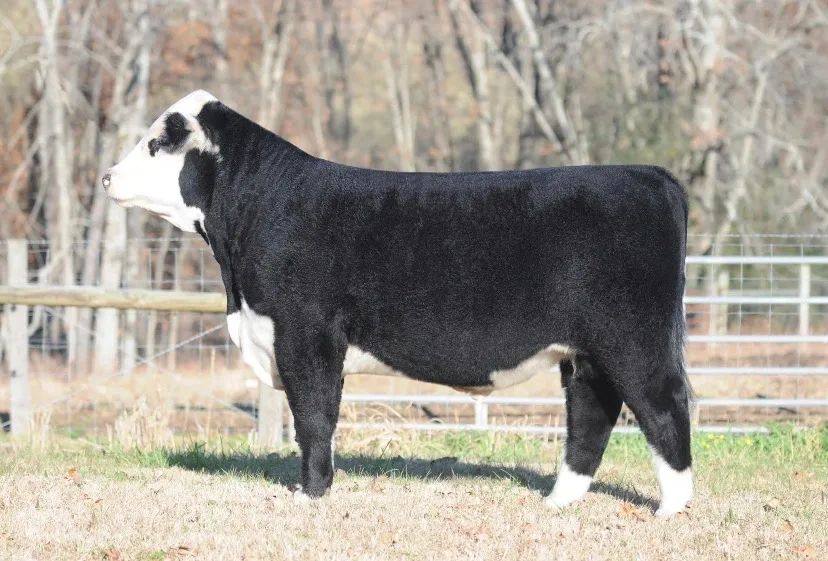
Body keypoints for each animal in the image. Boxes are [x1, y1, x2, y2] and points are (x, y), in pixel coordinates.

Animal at [103, 90, 693, 516]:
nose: (107, 176)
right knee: (592, 414)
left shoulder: (306, 335)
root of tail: (649, 174)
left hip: (633, 339)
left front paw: (310, 494)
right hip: (587, 351)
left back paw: (672, 509)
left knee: (664, 406)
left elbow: (313, 417)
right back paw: (558, 501)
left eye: (157, 144)